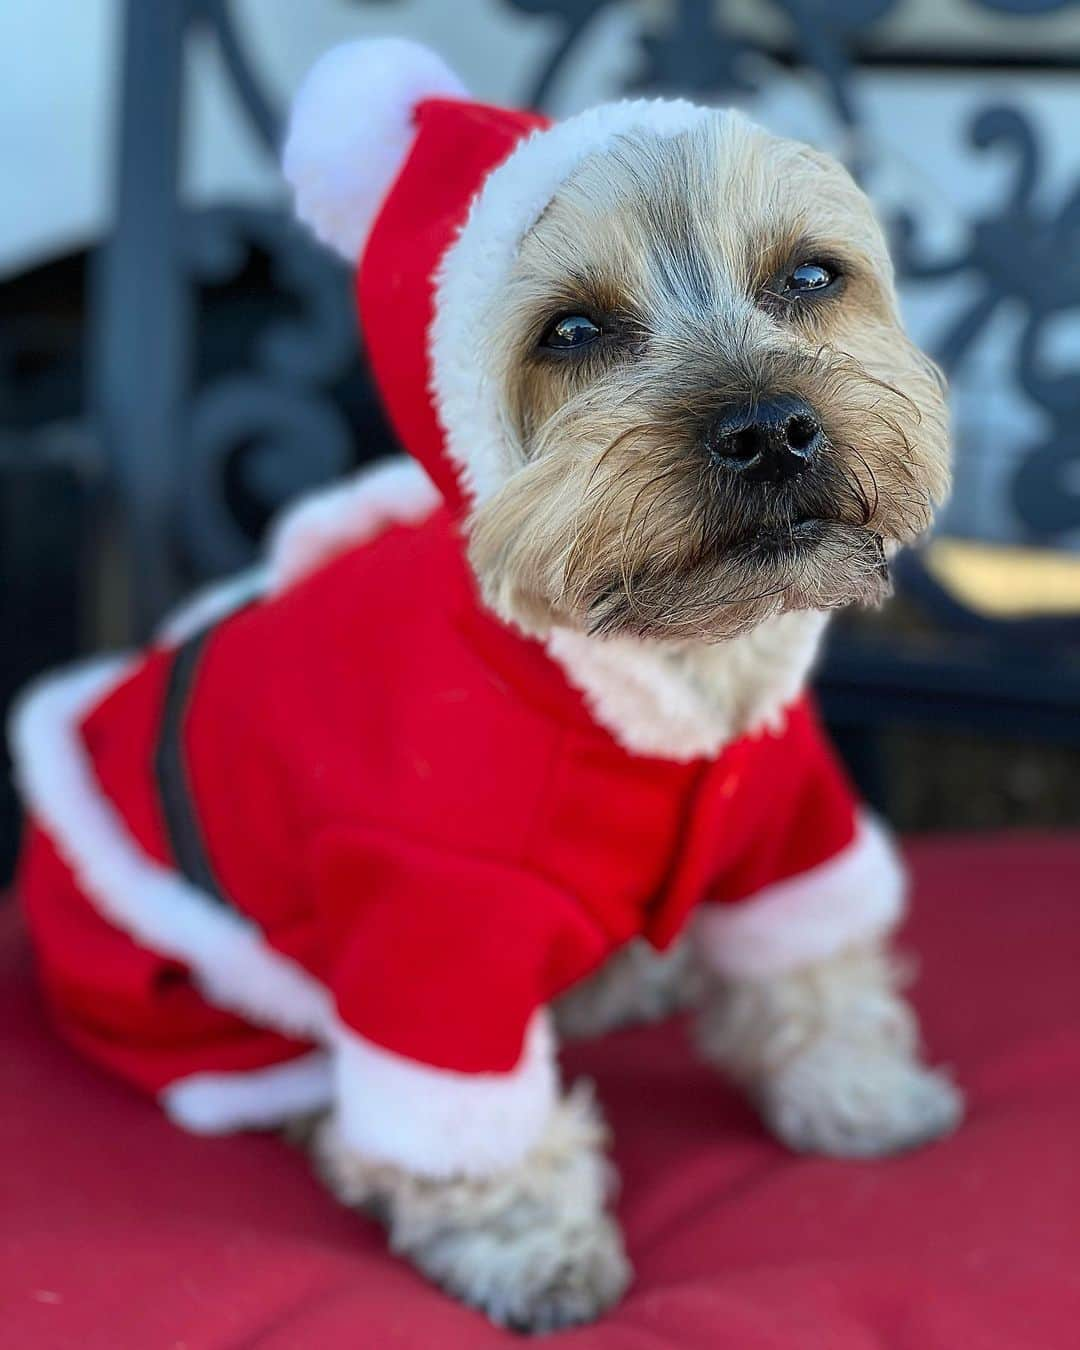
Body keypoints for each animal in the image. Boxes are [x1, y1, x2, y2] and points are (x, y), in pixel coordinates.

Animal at [6, 39, 955, 1328]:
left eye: (811, 274)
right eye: (570, 331)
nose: (770, 428)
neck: (655, 677)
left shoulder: (785, 815)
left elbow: (815, 960)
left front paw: (861, 1091)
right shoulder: (439, 916)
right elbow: (466, 1118)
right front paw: (528, 1244)